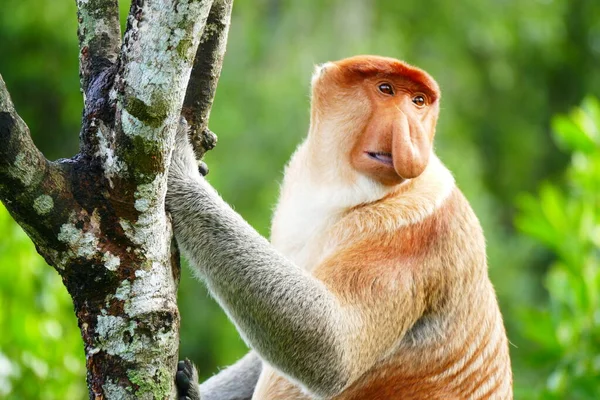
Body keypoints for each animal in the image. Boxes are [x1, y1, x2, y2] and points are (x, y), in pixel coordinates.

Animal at [168, 54, 510, 398]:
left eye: (418, 101)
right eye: (385, 89)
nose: (412, 140)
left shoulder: (418, 233)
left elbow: (334, 345)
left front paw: (180, 168)